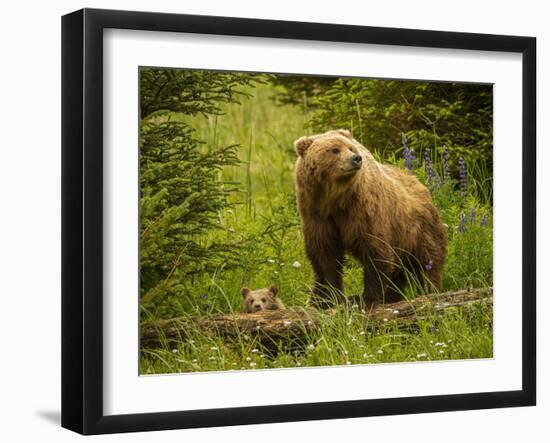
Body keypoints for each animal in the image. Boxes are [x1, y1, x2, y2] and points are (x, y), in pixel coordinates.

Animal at [296, 130, 446, 306]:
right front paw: (325, 299)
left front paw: (367, 298)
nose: (356, 158)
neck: (335, 199)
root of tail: (422, 186)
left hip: (418, 231)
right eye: (335, 150)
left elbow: (374, 249)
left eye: (351, 148)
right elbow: (324, 254)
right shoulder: (316, 214)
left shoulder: (363, 210)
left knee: (427, 263)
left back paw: (429, 290)